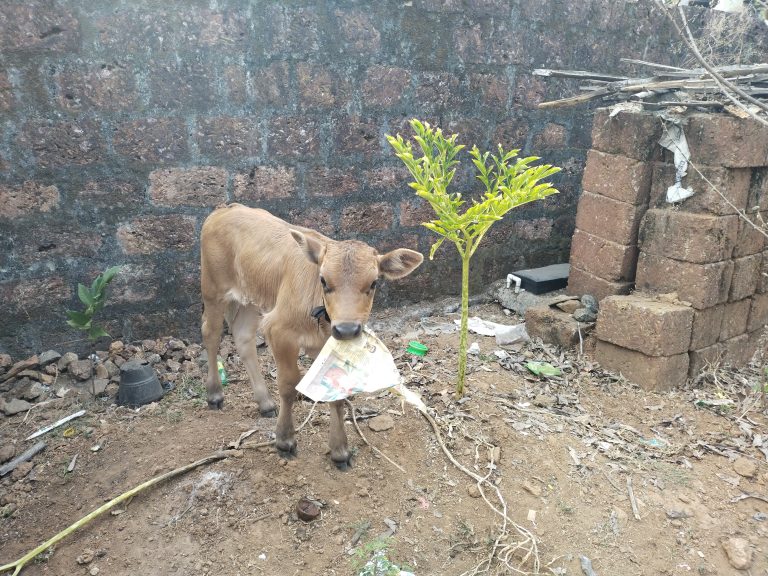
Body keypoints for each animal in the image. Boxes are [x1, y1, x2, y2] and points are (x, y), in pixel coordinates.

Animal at [201, 205, 424, 470]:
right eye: (324, 280)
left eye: (373, 283)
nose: (347, 329)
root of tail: (225, 209)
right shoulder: (279, 330)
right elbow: (288, 385)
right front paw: (285, 440)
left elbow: (337, 395)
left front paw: (340, 450)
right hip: (213, 289)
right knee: (211, 334)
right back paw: (214, 394)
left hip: (251, 298)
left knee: (244, 338)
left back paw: (264, 402)